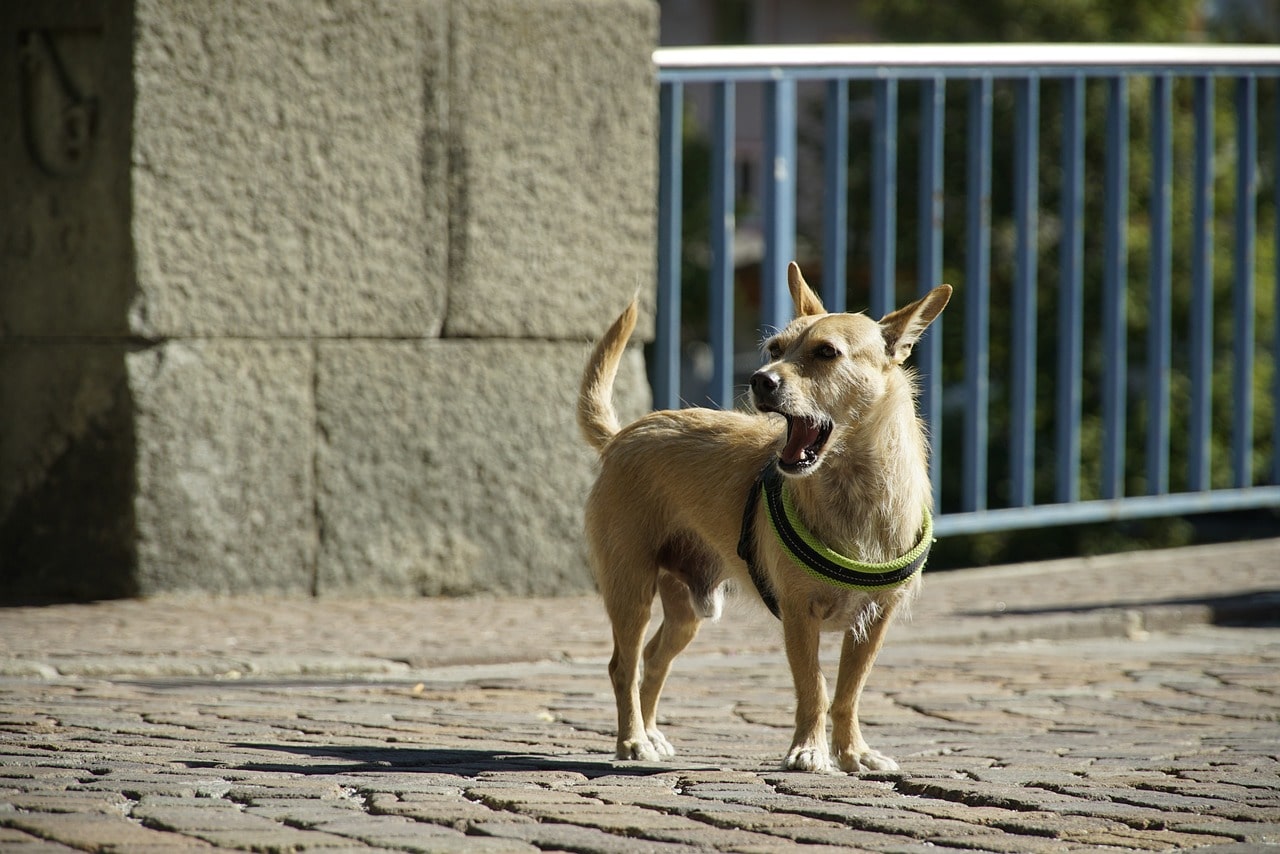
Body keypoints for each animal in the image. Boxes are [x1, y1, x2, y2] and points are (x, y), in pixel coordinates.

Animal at [581, 262, 952, 773]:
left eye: (826, 353)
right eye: (774, 350)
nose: (760, 379)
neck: (853, 489)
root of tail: (622, 436)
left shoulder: (875, 622)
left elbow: (849, 693)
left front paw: (853, 753)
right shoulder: (799, 617)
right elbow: (814, 688)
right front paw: (809, 751)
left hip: (686, 613)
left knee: (654, 661)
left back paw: (651, 734)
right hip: (631, 591)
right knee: (624, 665)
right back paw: (633, 740)